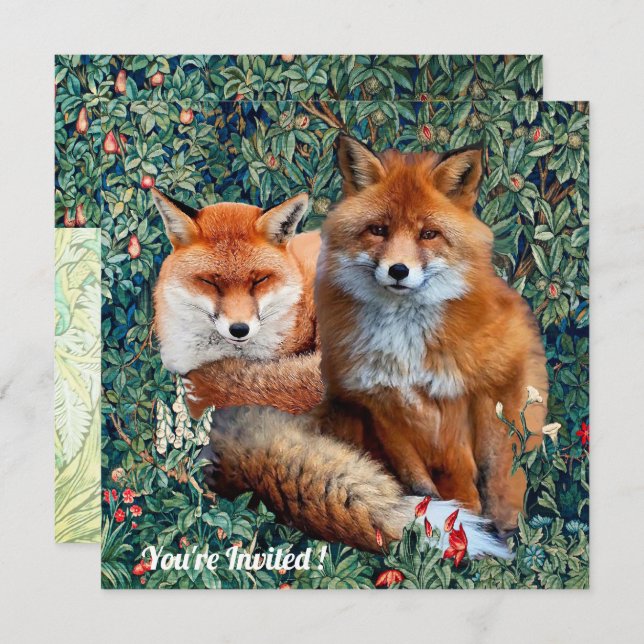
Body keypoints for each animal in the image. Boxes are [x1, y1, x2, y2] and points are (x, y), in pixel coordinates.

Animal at [196, 136, 547, 557]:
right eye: (378, 230)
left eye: (428, 234)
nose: (398, 270)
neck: (406, 346)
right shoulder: (377, 402)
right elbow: (420, 483)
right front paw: (437, 524)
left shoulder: (479, 391)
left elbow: (483, 474)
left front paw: (487, 525)